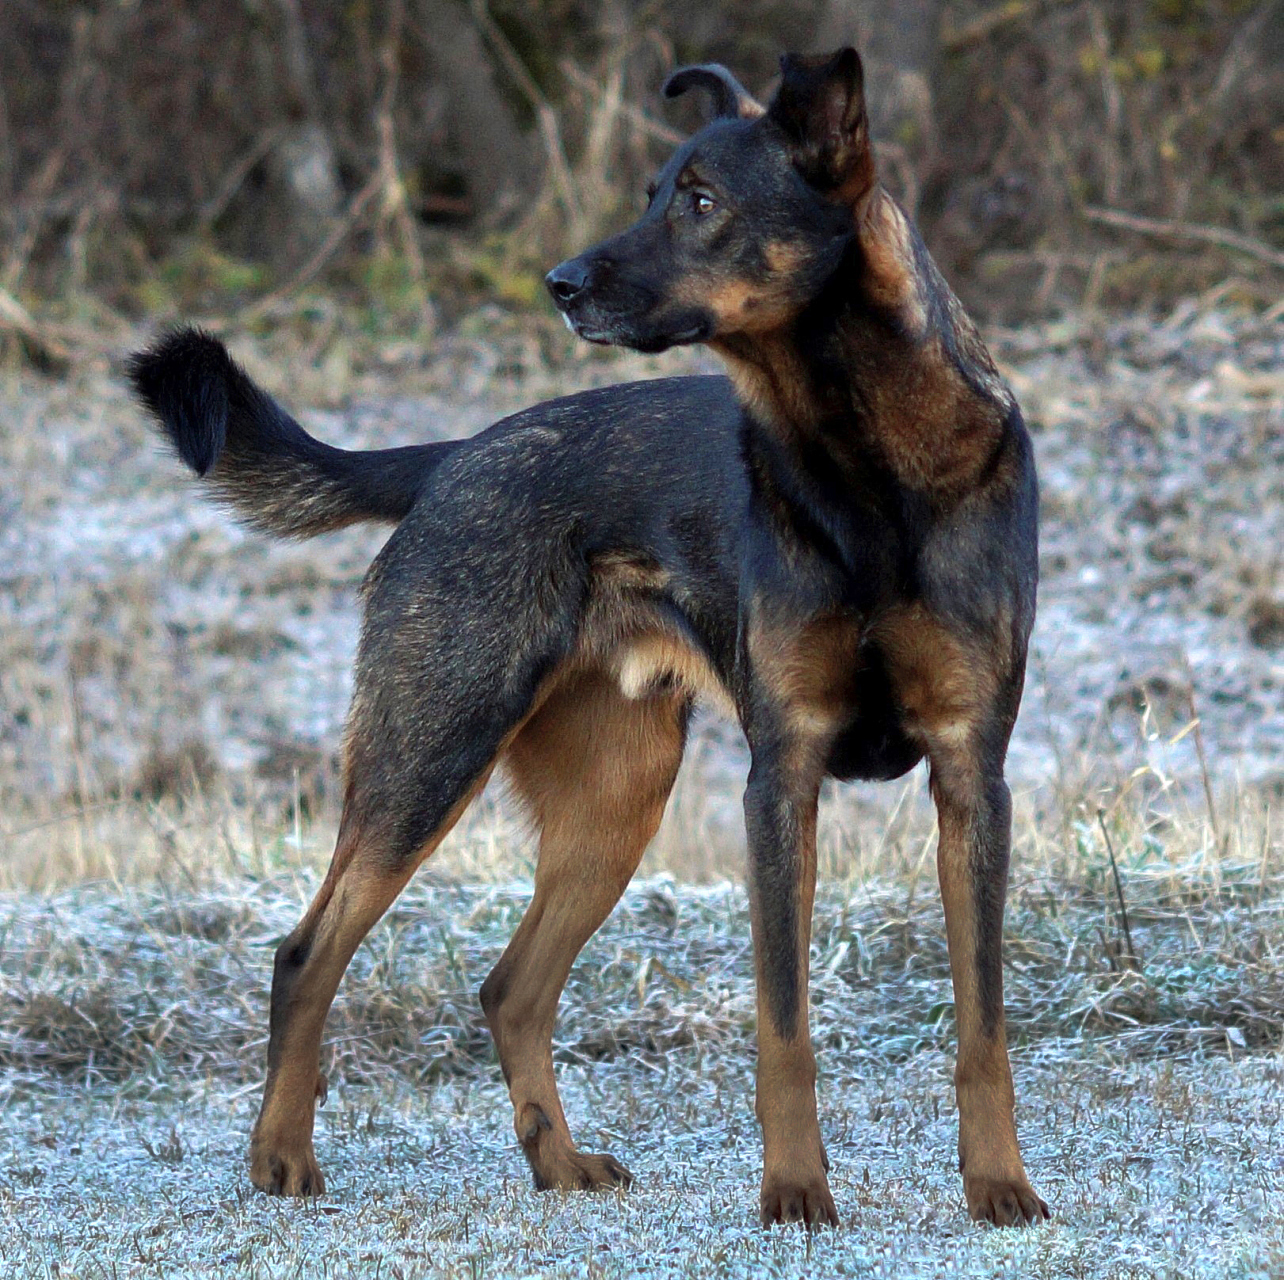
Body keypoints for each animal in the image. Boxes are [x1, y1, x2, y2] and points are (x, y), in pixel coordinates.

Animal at [127, 50, 1052, 1227]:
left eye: (699, 201)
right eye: (653, 192)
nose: (560, 282)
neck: (867, 466)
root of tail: (450, 459)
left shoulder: (973, 774)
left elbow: (984, 1026)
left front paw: (1000, 1184)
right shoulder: (783, 774)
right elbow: (784, 1026)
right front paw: (795, 1190)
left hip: (614, 798)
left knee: (512, 987)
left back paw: (556, 1162)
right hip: (431, 752)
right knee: (308, 953)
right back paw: (282, 1157)